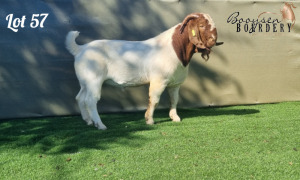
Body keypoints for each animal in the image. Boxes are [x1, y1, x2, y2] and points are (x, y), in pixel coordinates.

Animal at [67, 13, 224, 130]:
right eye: (202, 25)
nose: (213, 41)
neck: (174, 48)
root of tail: (80, 49)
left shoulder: (175, 83)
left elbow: (174, 99)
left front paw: (175, 118)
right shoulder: (158, 81)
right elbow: (154, 100)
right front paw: (149, 120)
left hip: (85, 81)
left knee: (80, 98)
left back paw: (88, 121)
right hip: (94, 80)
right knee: (90, 100)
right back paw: (100, 125)